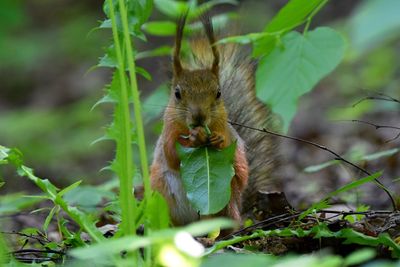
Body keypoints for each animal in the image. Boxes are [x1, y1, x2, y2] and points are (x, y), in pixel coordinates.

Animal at [148, 14, 282, 227]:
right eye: (177, 93)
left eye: (219, 93)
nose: (199, 117)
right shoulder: (168, 133)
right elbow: (171, 153)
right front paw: (192, 140)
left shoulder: (228, 132)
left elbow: (239, 165)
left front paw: (217, 140)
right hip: (163, 200)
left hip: (225, 202)